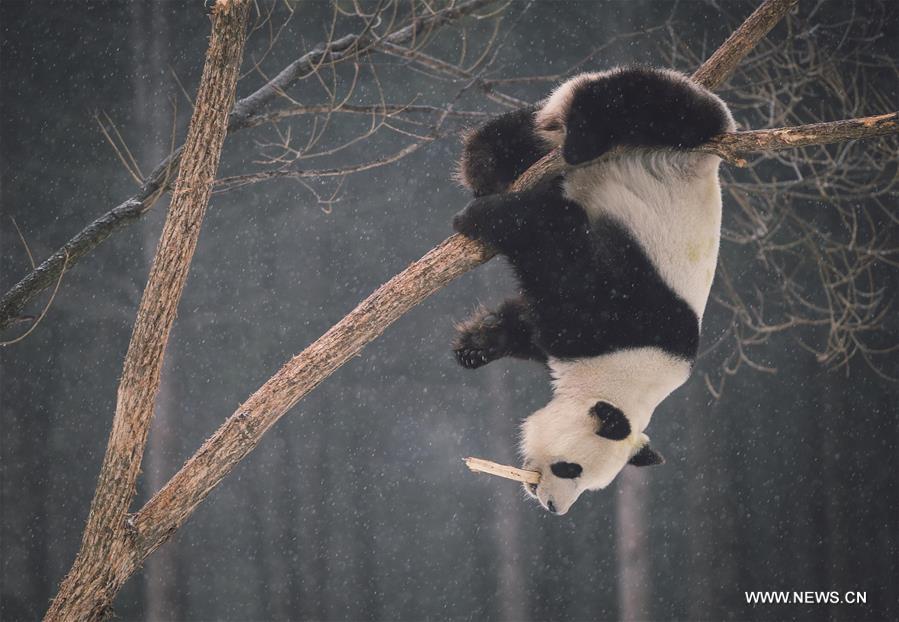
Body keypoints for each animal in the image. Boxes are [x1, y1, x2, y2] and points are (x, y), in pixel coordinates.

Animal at [454, 68, 736, 516]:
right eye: (571, 469)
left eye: (588, 487)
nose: (555, 507)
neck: (625, 372)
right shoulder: (624, 311)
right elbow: (559, 248)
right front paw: (482, 218)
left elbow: (531, 323)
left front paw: (479, 343)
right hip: (684, 128)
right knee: (642, 98)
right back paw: (569, 142)